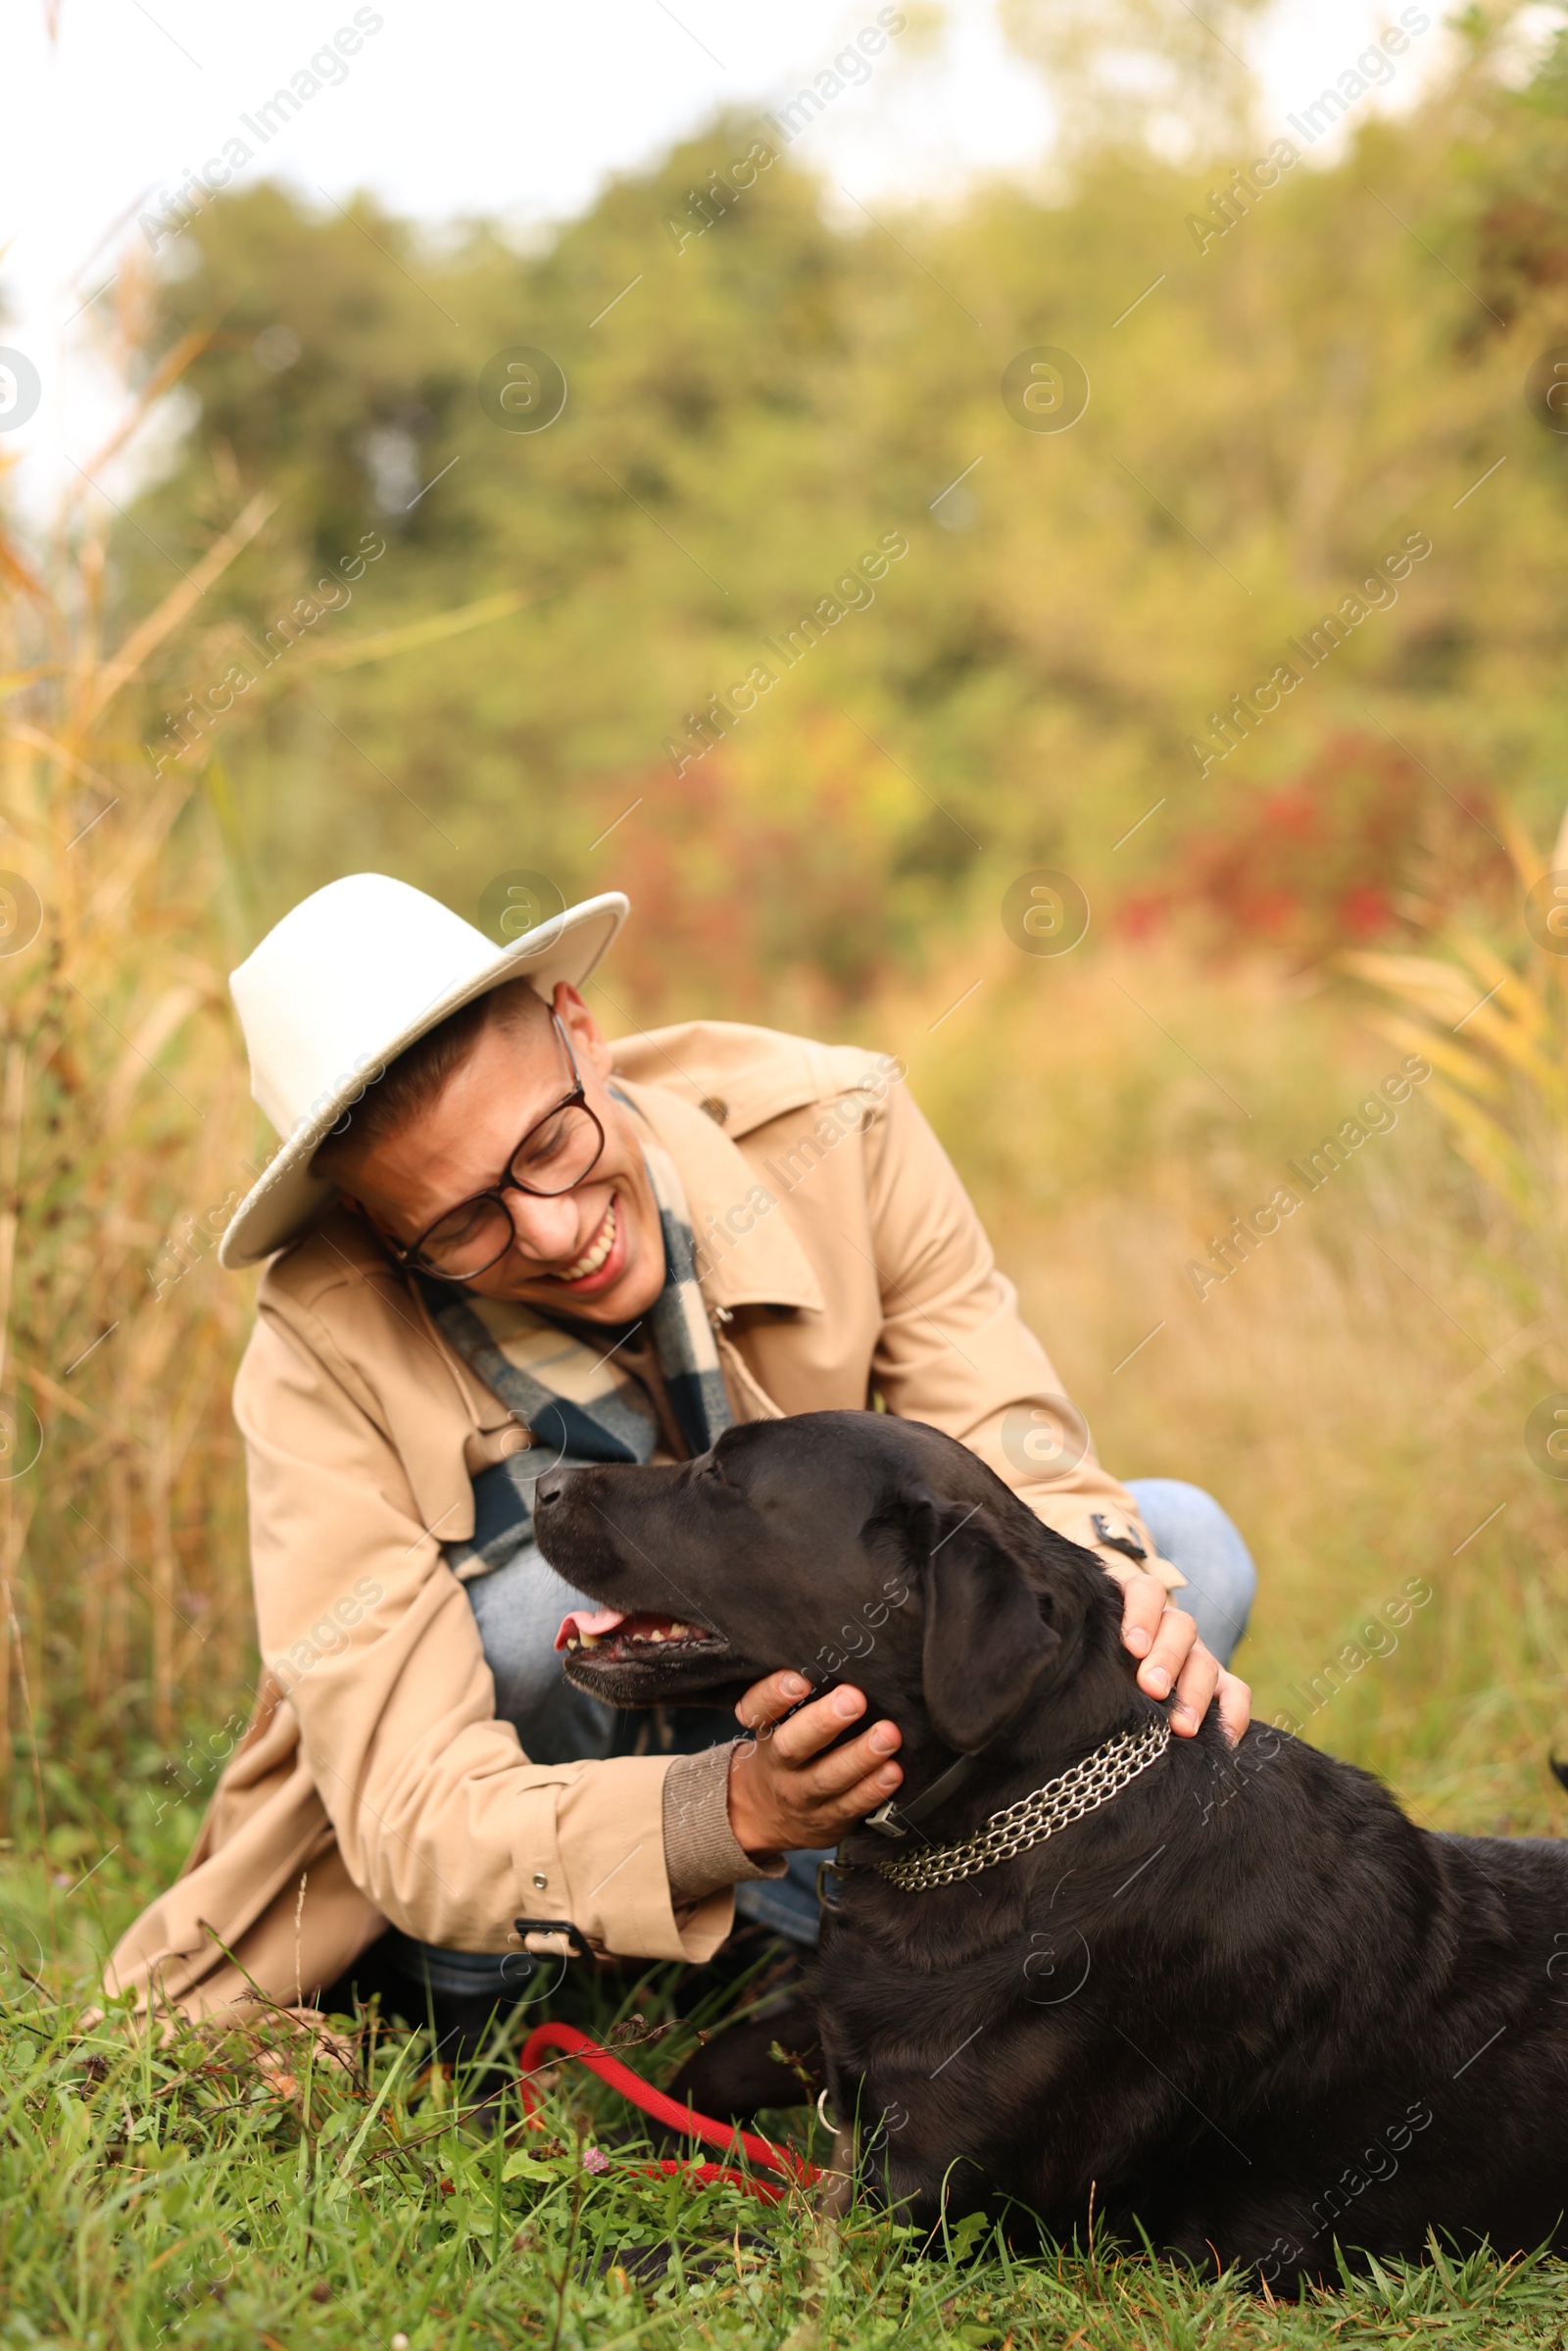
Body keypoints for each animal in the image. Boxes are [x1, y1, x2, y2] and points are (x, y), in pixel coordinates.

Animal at [535, 1410, 1568, 2276]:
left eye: (720, 1474)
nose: (544, 1481)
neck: (1001, 1817)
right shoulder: (841, 2030)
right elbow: (708, 2065)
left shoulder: (918, 2200)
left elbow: (732, 2245)